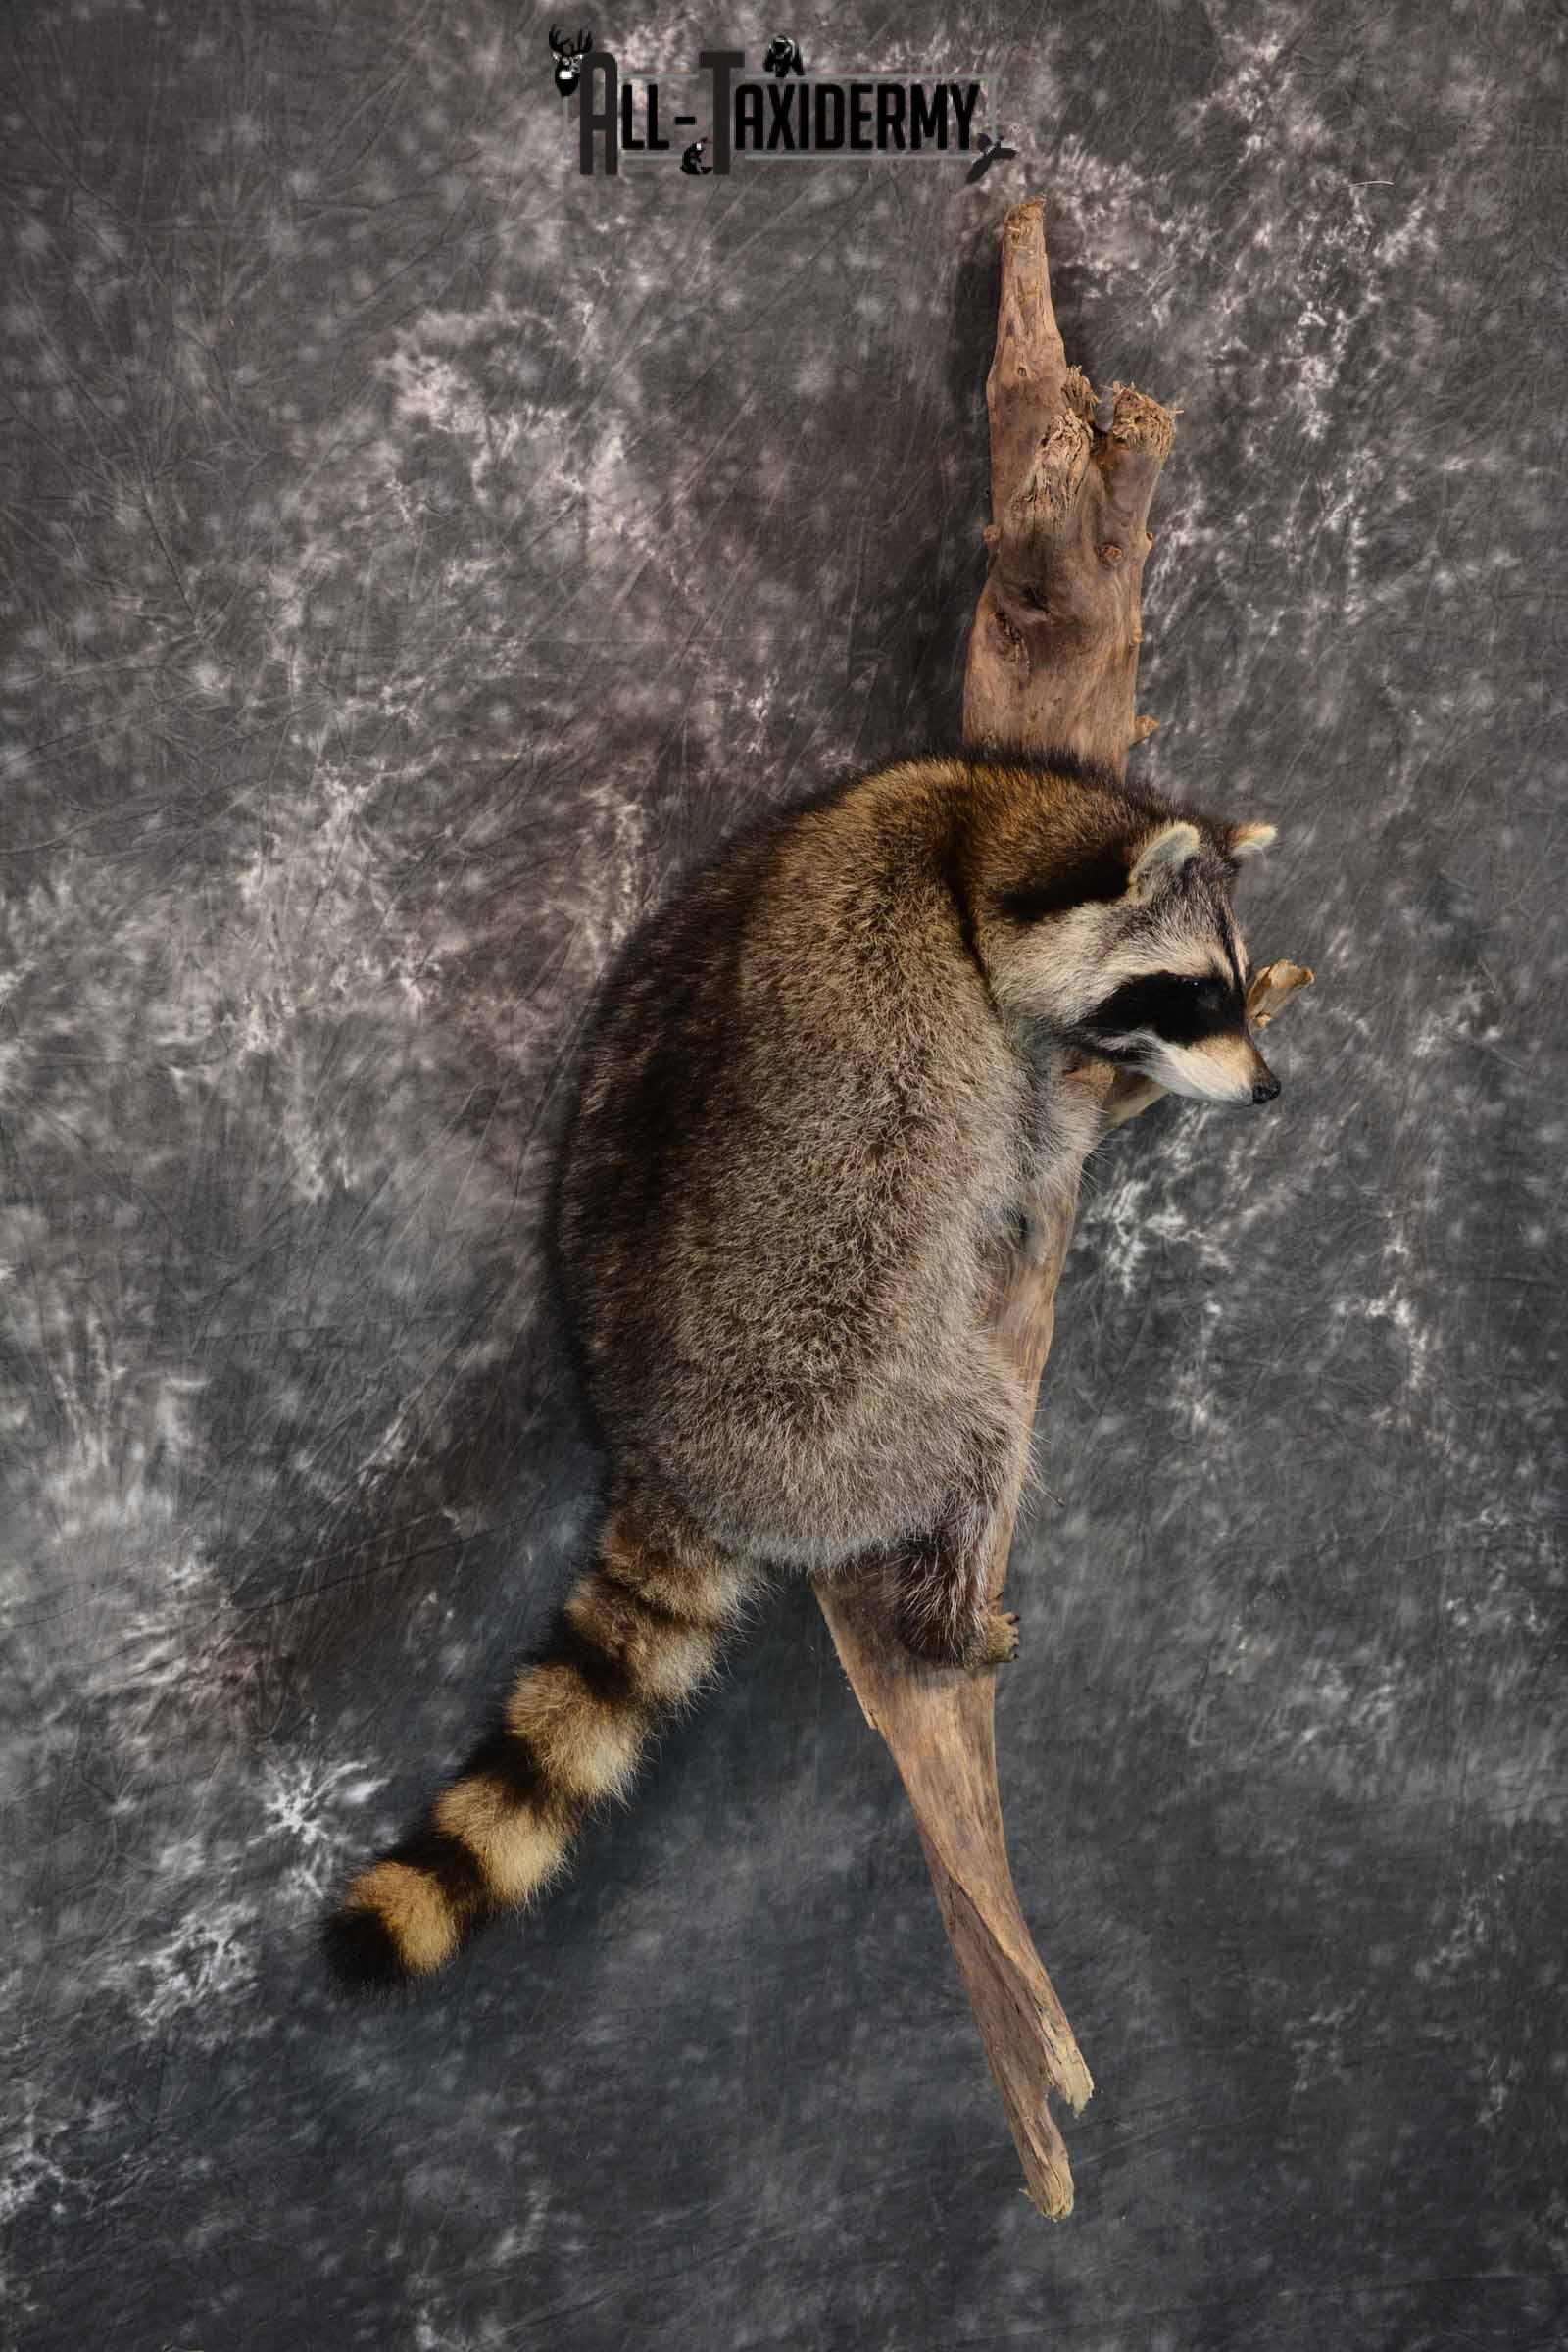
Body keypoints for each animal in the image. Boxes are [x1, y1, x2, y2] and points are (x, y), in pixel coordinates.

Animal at [328, 750, 1279, 1985]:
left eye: (1228, 982)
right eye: (1191, 993)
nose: (1266, 1090)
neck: (974, 832)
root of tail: (659, 1462)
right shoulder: (975, 1047)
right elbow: (1035, 1150)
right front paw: (1125, 1094)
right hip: (835, 1411)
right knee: (981, 1435)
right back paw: (945, 1616)